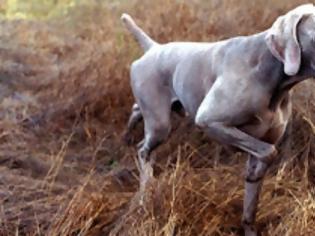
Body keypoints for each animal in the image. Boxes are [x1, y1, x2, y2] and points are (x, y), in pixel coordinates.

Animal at [122, 4, 315, 235]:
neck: (270, 72)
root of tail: (153, 48)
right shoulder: (210, 121)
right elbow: (268, 152)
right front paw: (258, 170)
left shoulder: (262, 139)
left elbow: (251, 205)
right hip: (161, 124)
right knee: (143, 150)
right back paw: (146, 191)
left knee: (136, 112)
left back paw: (127, 134)